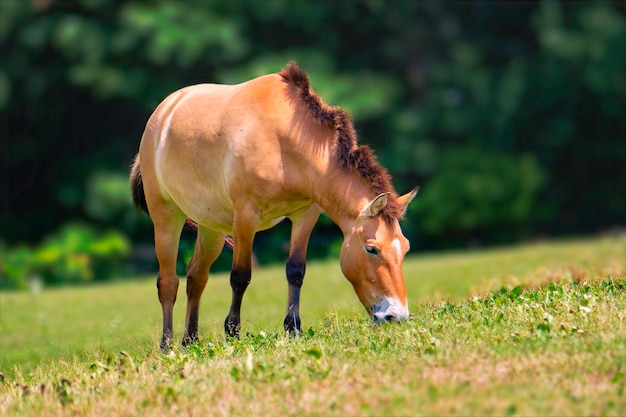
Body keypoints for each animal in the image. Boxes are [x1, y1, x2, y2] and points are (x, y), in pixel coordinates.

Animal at [130, 61, 416, 348]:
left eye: (405, 248)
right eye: (372, 249)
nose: (396, 316)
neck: (283, 142)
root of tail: (162, 112)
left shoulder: (306, 214)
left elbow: (296, 271)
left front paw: (293, 328)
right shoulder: (246, 217)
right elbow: (240, 276)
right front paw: (232, 331)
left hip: (211, 227)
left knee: (196, 276)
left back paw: (190, 340)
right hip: (166, 217)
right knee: (168, 282)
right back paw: (167, 345)